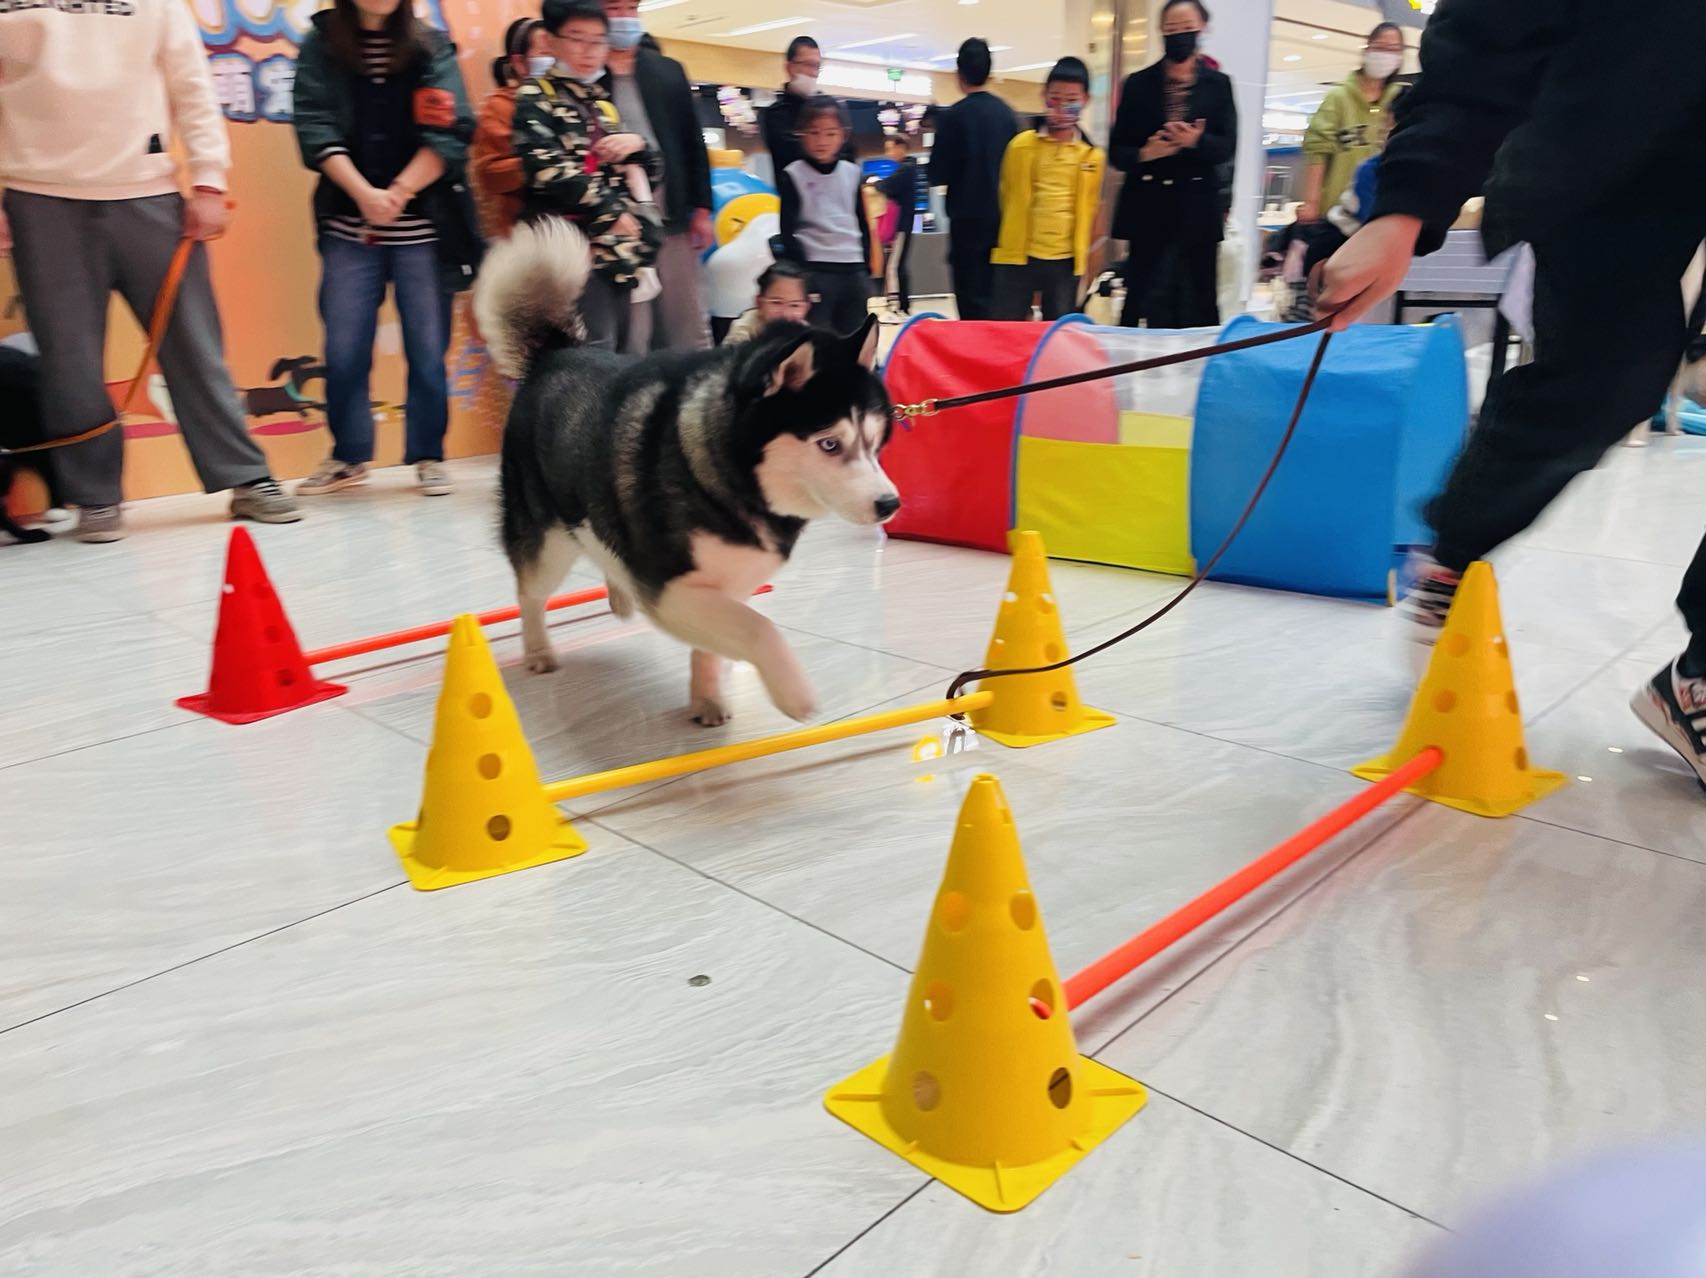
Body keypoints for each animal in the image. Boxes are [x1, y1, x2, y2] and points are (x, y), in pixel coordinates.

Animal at [474, 220, 900, 726]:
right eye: (830, 444)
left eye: (875, 440)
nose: (890, 504)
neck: (732, 480)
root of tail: (555, 354)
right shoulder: (669, 590)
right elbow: (759, 629)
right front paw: (792, 691)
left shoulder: (728, 584)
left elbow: (713, 647)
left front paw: (707, 699)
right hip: (547, 543)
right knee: (530, 593)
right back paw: (538, 650)